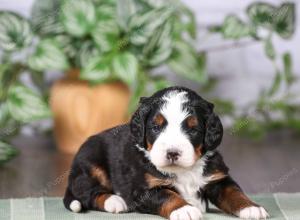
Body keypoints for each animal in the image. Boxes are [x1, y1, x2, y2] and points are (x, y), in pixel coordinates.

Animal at [63, 87, 270, 219]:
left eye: (193, 129)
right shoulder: (143, 189)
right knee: (88, 192)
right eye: (156, 126)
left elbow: (234, 192)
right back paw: (115, 201)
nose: (172, 153)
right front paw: (184, 209)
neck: (184, 170)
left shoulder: (217, 178)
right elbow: (167, 195)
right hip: (90, 163)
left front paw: (251, 207)